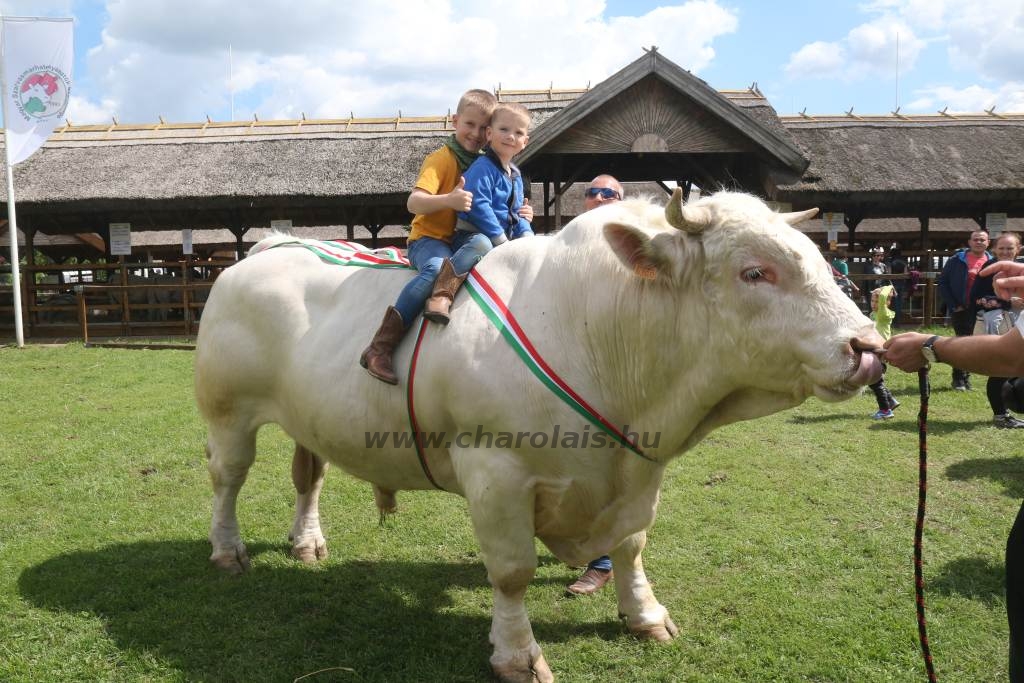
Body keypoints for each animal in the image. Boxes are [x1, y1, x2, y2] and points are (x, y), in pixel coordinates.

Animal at [195, 191, 884, 683]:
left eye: (820, 260)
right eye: (755, 272)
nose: (869, 347)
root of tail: (273, 244)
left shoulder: (636, 472)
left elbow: (631, 546)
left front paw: (645, 616)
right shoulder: (494, 472)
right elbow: (512, 573)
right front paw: (516, 656)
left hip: (307, 415)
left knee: (307, 476)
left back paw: (307, 542)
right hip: (227, 412)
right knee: (227, 480)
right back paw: (228, 553)